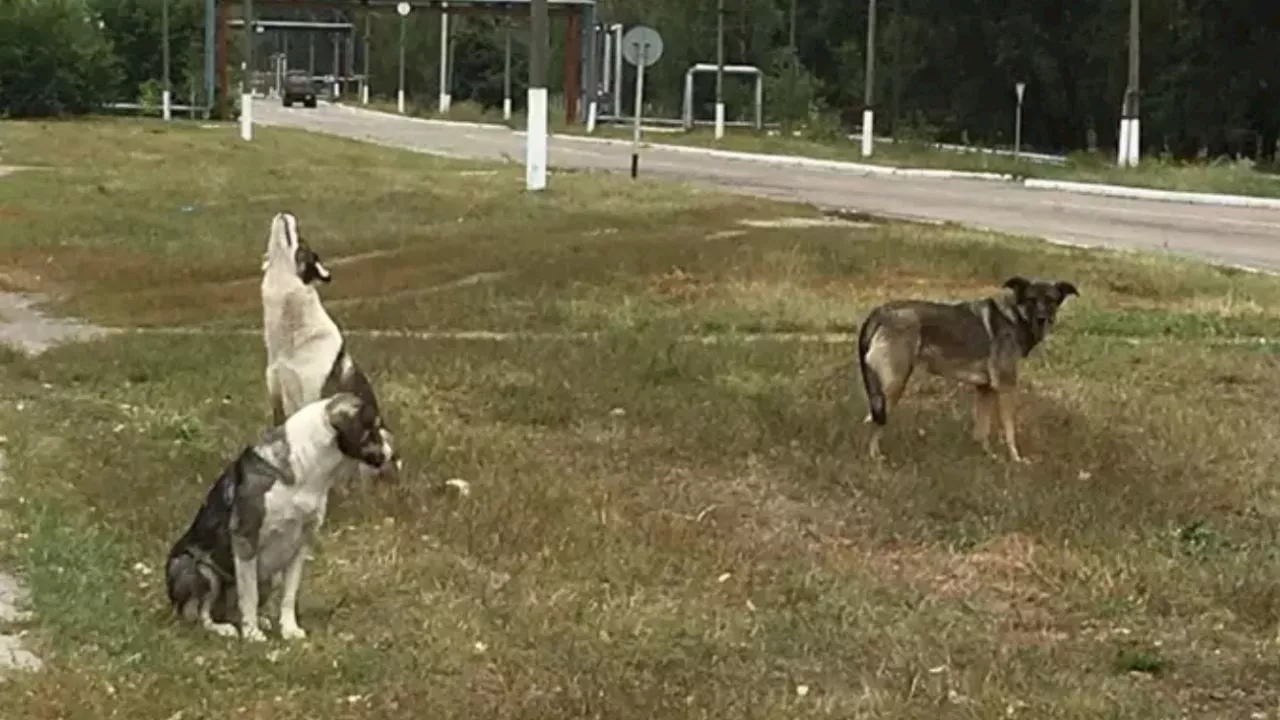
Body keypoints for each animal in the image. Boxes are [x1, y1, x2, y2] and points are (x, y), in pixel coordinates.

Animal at [165, 392, 394, 638]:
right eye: (373, 428)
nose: (393, 453)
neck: (309, 467)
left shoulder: (301, 543)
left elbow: (288, 594)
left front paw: (289, 629)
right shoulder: (246, 539)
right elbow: (249, 595)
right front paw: (252, 635)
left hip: (268, 577)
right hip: (200, 570)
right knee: (200, 613)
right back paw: (224, 628)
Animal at [860, 274, 1080, 458]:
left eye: (1051, 301)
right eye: (1031, 300)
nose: (1043, 319)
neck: (1015, 316)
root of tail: (881, 311)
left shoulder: (985, 389)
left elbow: (982, 429)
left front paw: (987, 455)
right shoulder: (1006, 388)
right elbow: (1009, 430)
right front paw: (1015, 459)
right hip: (894, 385)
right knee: (875, 423)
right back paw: (875, 458)